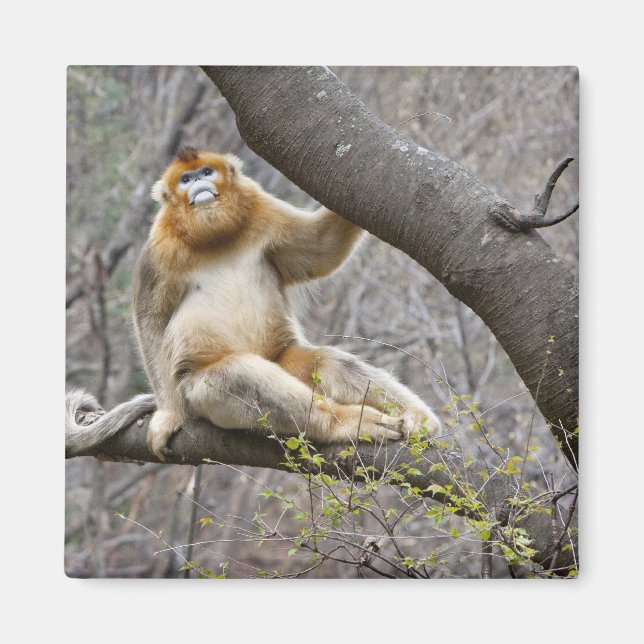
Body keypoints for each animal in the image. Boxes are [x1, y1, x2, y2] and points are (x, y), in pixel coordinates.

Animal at [66, 148, 440, 461]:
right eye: (185, 179)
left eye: (206, 171)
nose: (198, 184)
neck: (214, 235)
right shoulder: (158, 248)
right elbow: (151, 321)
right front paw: (169, 416)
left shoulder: (263, 208)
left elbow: (321, 249)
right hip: (197, 395)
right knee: (238, 374)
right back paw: (345, 423)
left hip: (282, 357)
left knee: (329, 363)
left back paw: (418, 419)